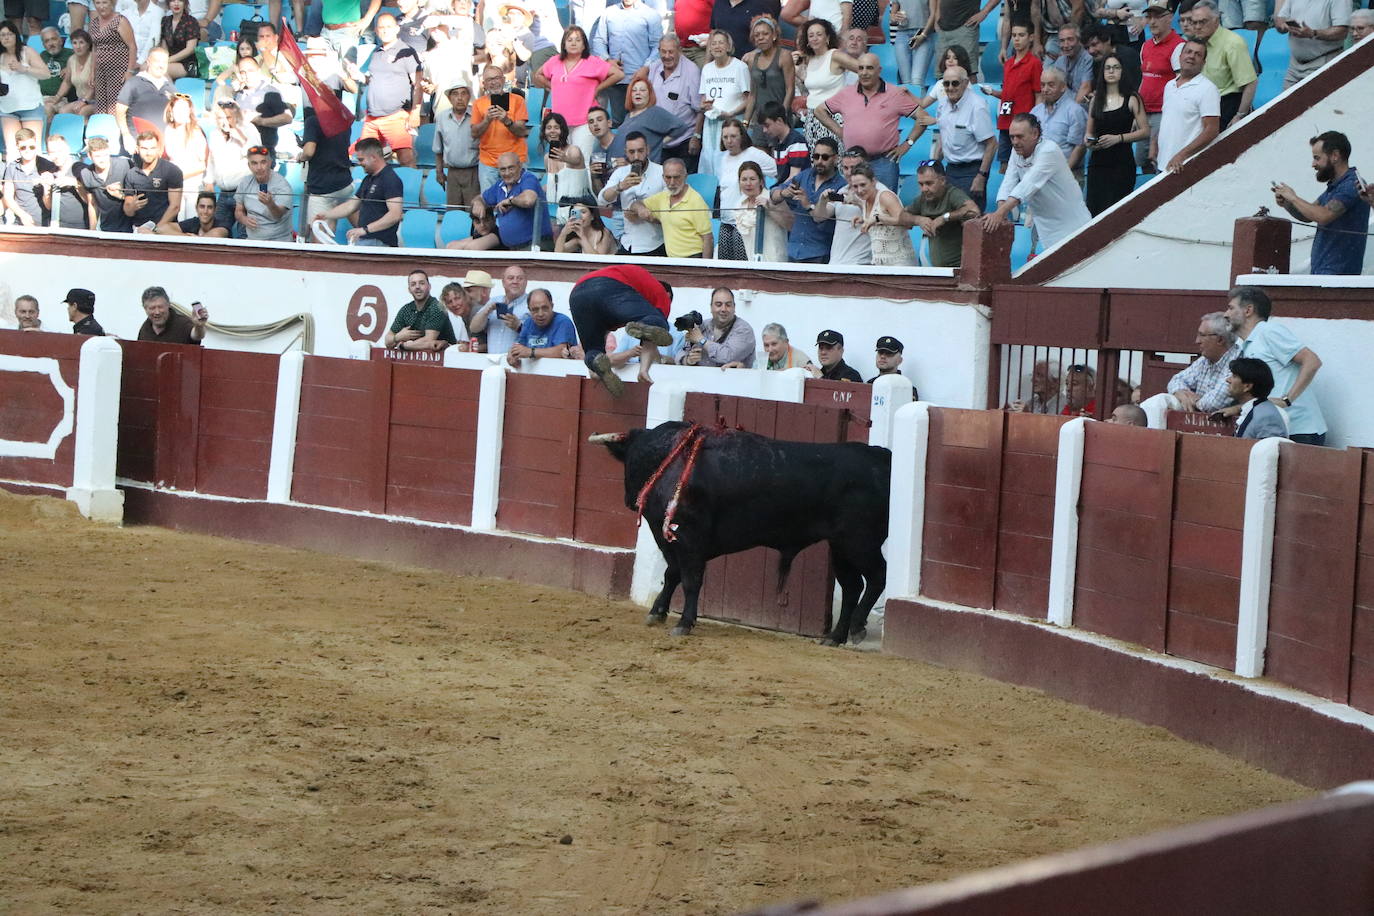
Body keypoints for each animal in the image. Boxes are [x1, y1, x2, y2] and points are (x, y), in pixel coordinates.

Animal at [590, 422, 890, 645]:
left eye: (632, 460)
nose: (628, 499)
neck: (670, 461)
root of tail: (881, 457)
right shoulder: (670, 540)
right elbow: (671, 574)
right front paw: (657, 613)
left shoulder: (689, 539)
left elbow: (690, 580)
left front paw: (684, 623)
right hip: (840, 546)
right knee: (853, 586)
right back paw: (836, 637)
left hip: (860, 542)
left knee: (877, 576)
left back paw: (857, 627)